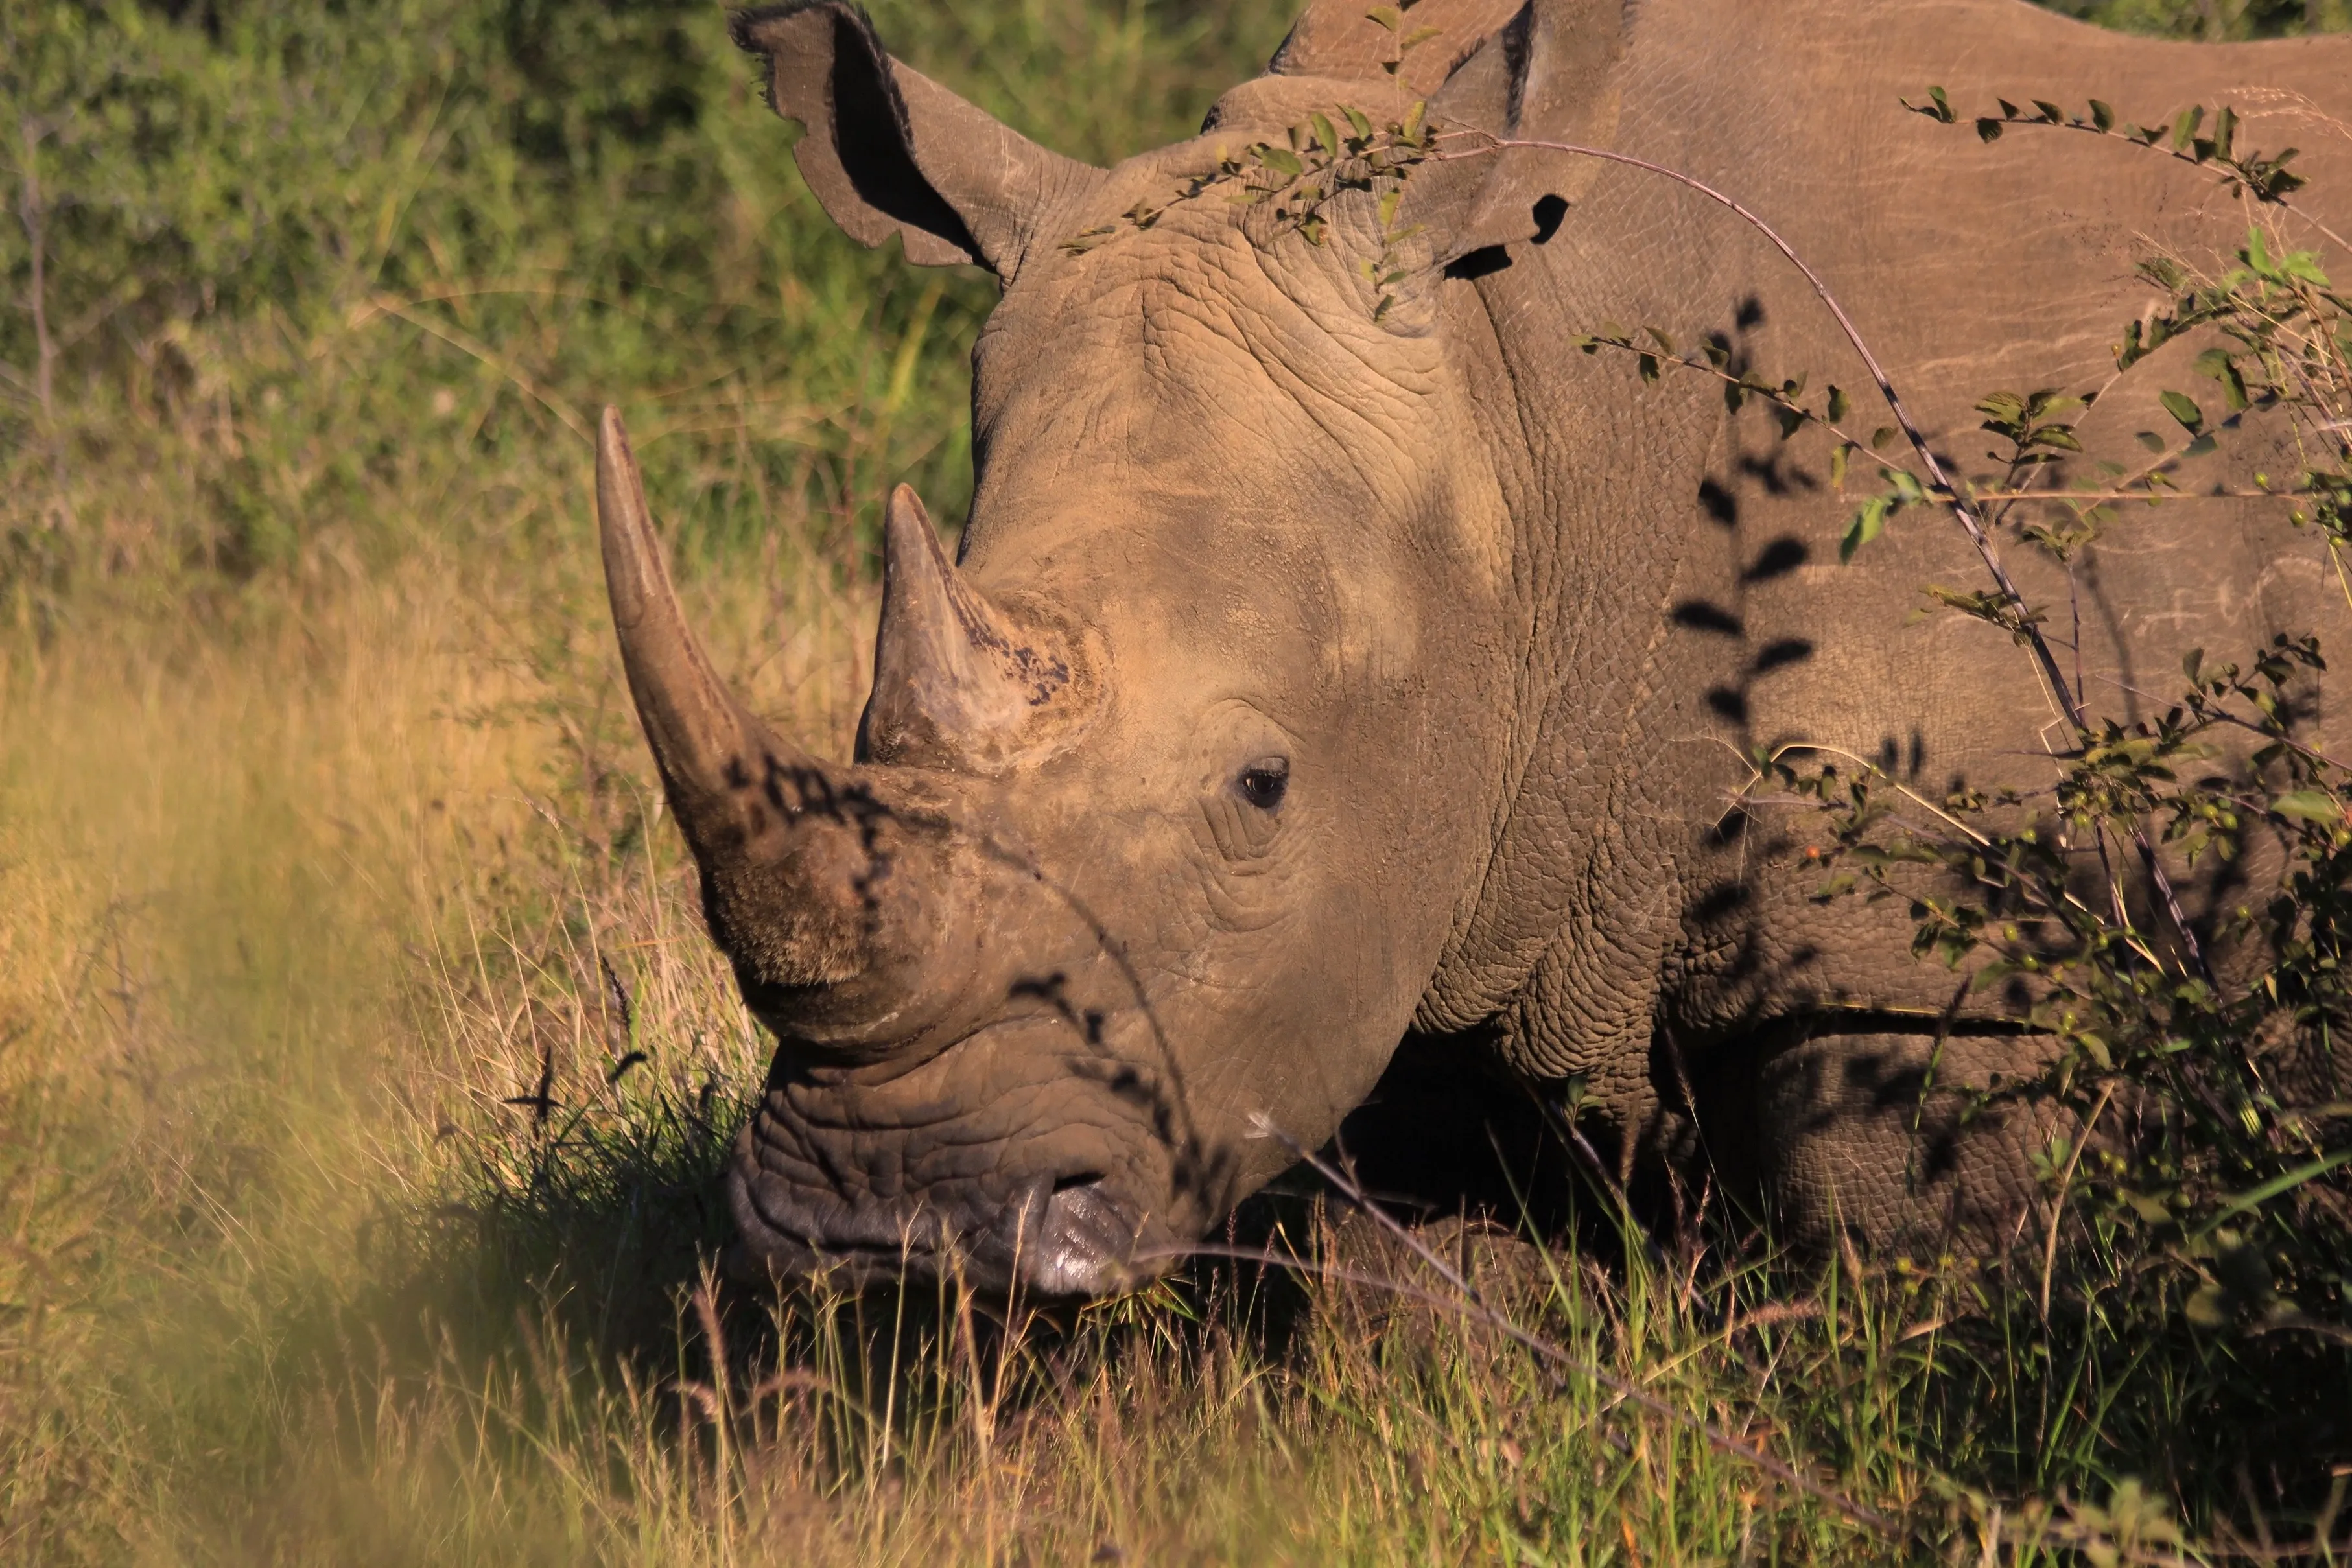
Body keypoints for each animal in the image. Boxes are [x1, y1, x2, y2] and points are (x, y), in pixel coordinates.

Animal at [591, 0, 2352, 1295]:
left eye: (1259, 785)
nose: (878, 1219)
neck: (1532, 417)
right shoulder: (1427, 884)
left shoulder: (1944, 951)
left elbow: (1933, 1290)